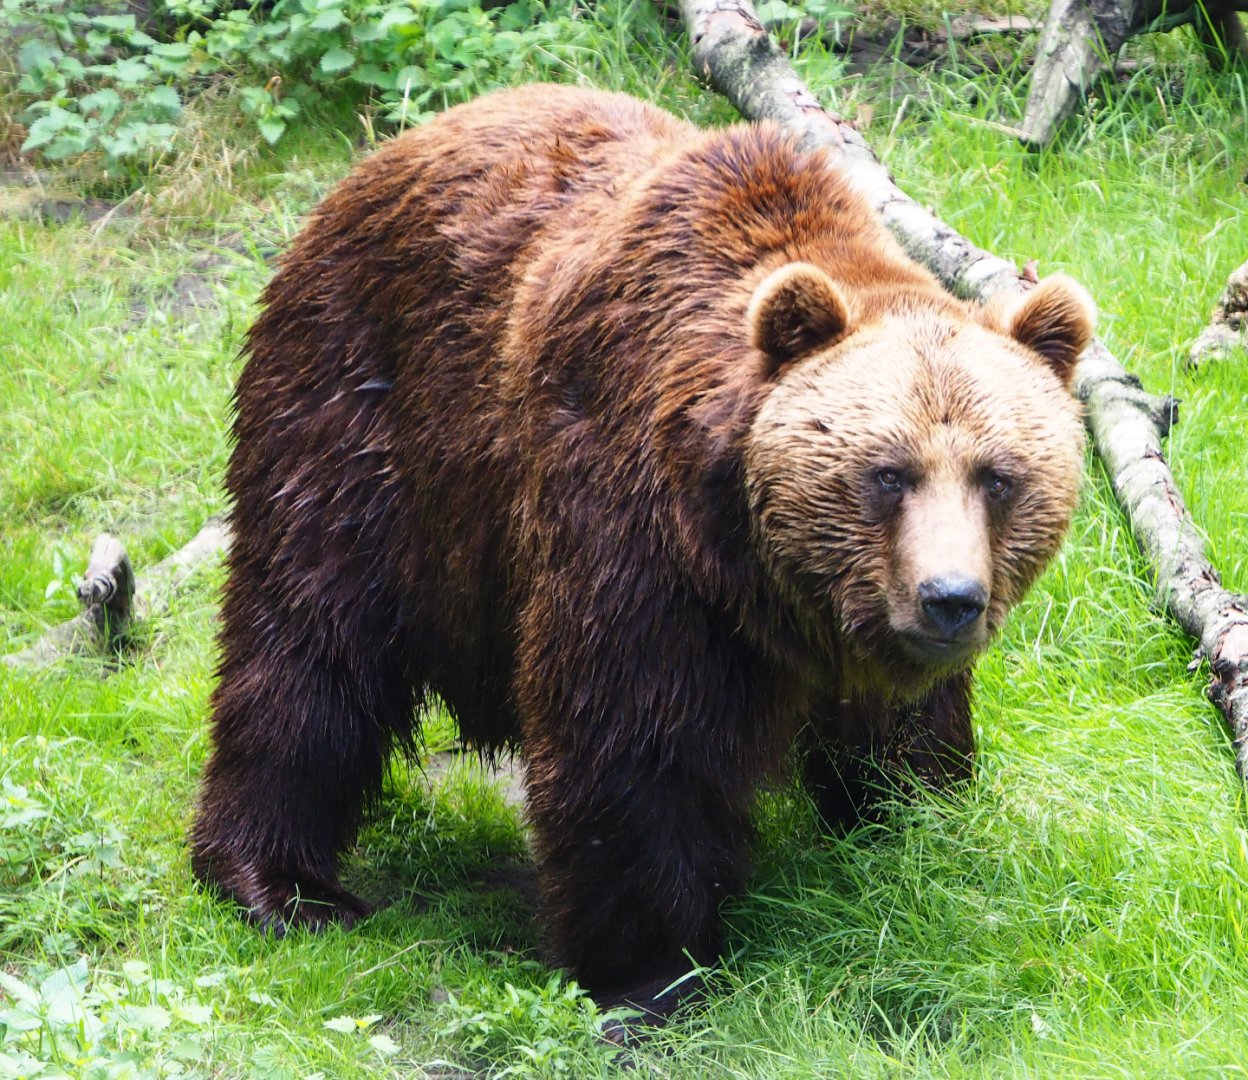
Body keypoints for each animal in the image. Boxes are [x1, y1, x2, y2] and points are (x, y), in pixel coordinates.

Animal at [192, 82, 1093, 1023]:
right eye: (889, 474)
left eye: (998, 476)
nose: (949, 598)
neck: (759, 575)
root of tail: (389, 151)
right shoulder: (635, 536)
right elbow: (632, 747)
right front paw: (653, 974)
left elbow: (904, 736)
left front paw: (915, 829)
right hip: (363, 423)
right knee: (307, 648)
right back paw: (281, 883)